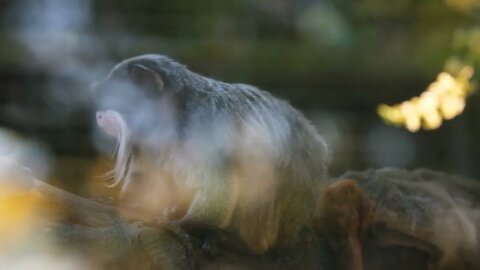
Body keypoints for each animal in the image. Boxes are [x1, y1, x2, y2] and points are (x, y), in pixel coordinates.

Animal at [91, 53, 330, 258]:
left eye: (114, 93)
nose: (97, 108)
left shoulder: (205, 126)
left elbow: (218, 190)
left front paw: (180, 224)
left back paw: (242, 243)